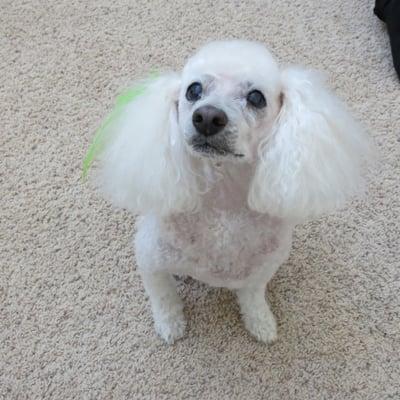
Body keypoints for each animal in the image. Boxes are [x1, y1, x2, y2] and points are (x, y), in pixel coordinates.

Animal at [93, 40, 372, 344]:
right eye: (193, 90)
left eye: (256, 97)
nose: (207, 117)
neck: (223, 197)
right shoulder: (150, 261)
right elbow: (164, 298)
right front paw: (170, 326)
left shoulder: (261, 271)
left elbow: (253, 298)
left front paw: (261, 323)